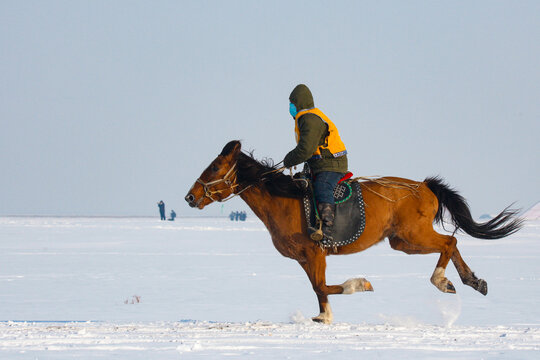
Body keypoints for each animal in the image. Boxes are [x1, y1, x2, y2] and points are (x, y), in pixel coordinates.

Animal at [186, 140, 524, 324]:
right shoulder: (305, 258)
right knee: (451, 243)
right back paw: (473, 281)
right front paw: (325, 316)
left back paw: (444, 281)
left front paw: (359, 285)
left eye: (214, 168)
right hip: (402, 241)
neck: (281, 198)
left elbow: (322, 286)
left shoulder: (315, 252)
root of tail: (425, 186)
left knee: (449, 241)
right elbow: (318, 288)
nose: (190, 197)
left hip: (411, 236)